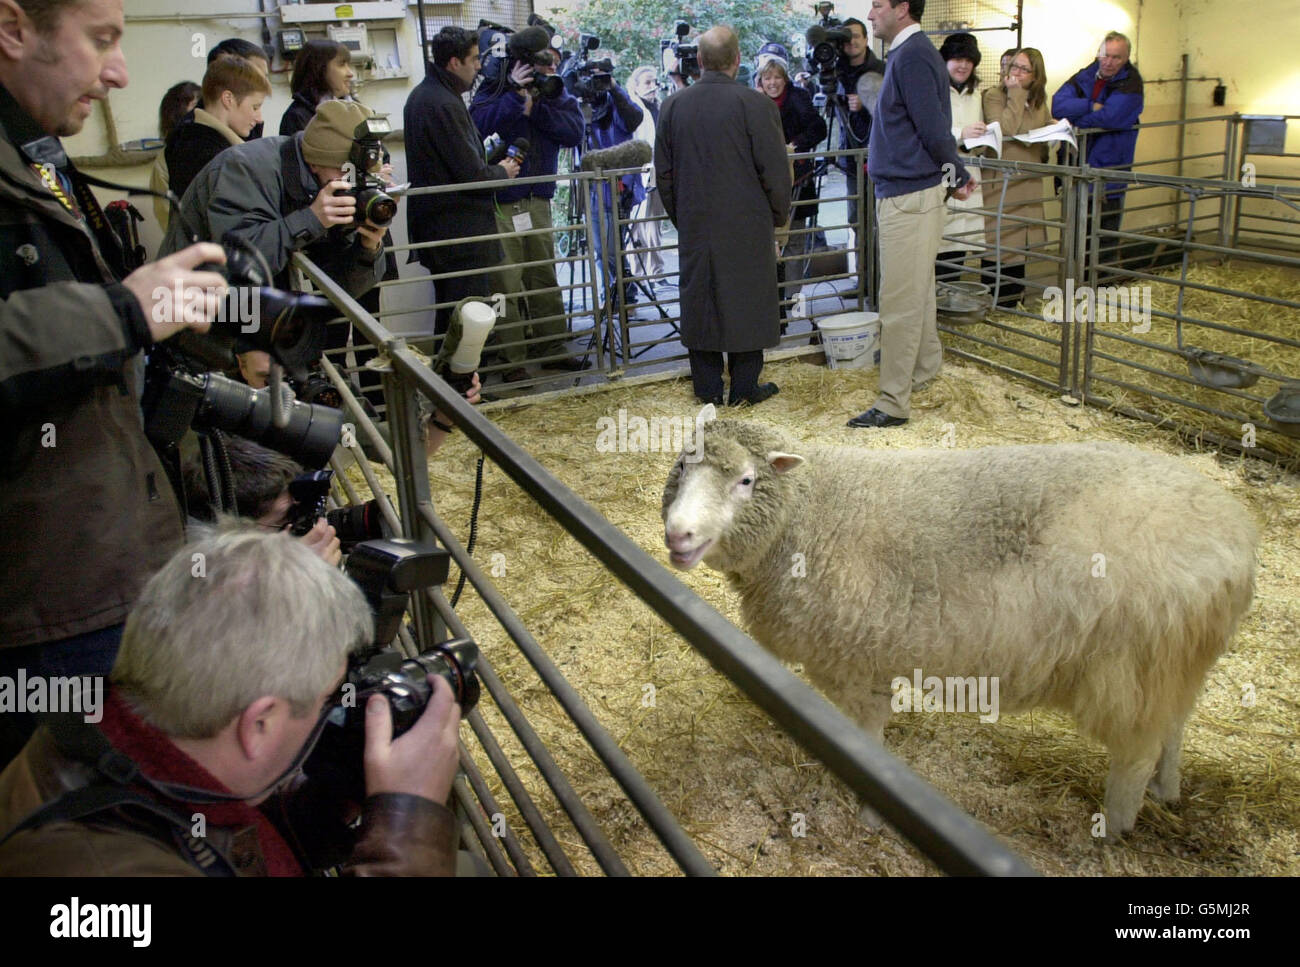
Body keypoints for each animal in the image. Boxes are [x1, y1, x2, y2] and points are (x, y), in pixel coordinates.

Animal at [660, 409, 1258, 837]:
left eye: (745, 480)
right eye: (681, 469)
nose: (678, 534)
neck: (808, 516)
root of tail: (1236, 537)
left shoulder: (856, 663)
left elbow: (867, 741)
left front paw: (872, 813)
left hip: (1131, 665)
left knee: (1135, 754)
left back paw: (1113, 828)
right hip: (1172, 660)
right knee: (1174, 724)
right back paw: (1168, 790)